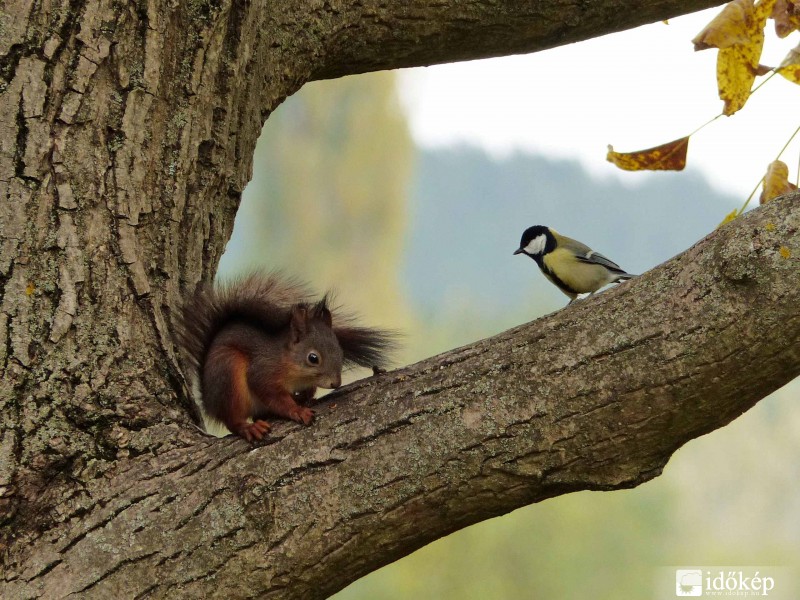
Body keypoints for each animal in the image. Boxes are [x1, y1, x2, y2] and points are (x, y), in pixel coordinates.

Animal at [178, 274, 396, 440]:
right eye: (313, 358)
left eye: (340, 351)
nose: (336, 383)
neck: (291, 365)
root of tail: (208, 400)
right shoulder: (263, 372)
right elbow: (274, 396)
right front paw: (297, 410)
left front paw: (305, 397)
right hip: (228, 374)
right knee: (232, 419)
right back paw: (248, 427)